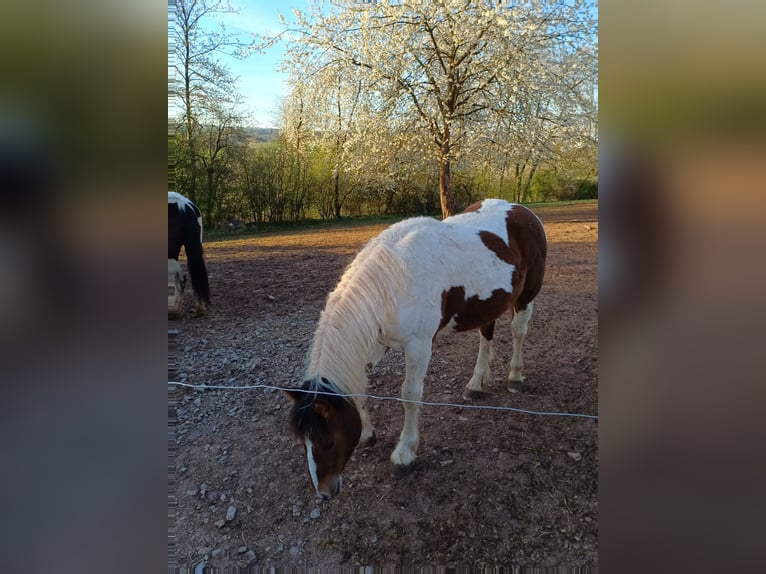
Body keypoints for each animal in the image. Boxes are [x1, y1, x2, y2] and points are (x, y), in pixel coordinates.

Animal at [285, 199, 547, 499]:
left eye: (326, 441)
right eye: (302, 442)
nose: (323, 493)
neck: (392, 283)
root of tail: (522, 210)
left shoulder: (419, 345)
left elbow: (410, 396)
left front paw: (404, 454)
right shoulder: (376, 342)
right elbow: (359, 387)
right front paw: (367, 434)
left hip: (526, 296)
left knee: (518, 332)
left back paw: (515, 377)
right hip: (489, 303)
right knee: (486, 335)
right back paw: (476, 384)